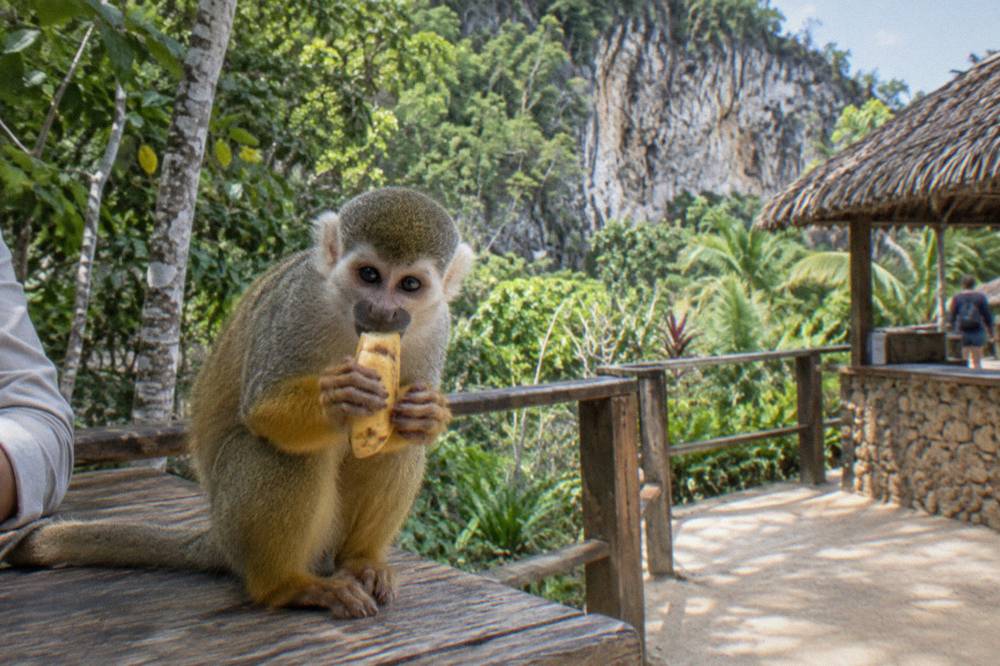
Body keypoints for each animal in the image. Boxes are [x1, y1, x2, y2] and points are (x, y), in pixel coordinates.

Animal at [6, 187, 475, 619]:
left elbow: (399, 429)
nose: (382, 312)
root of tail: (217, 536)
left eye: (409, 285)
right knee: (281, 452)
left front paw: (428, 416)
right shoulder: (298, 304)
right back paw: (285, 586)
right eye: (370, 275)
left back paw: (360, 561)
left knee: (396, 450)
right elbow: (263, 410)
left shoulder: (438, 326)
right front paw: (338, 400)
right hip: (236, 524)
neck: (347, 317)